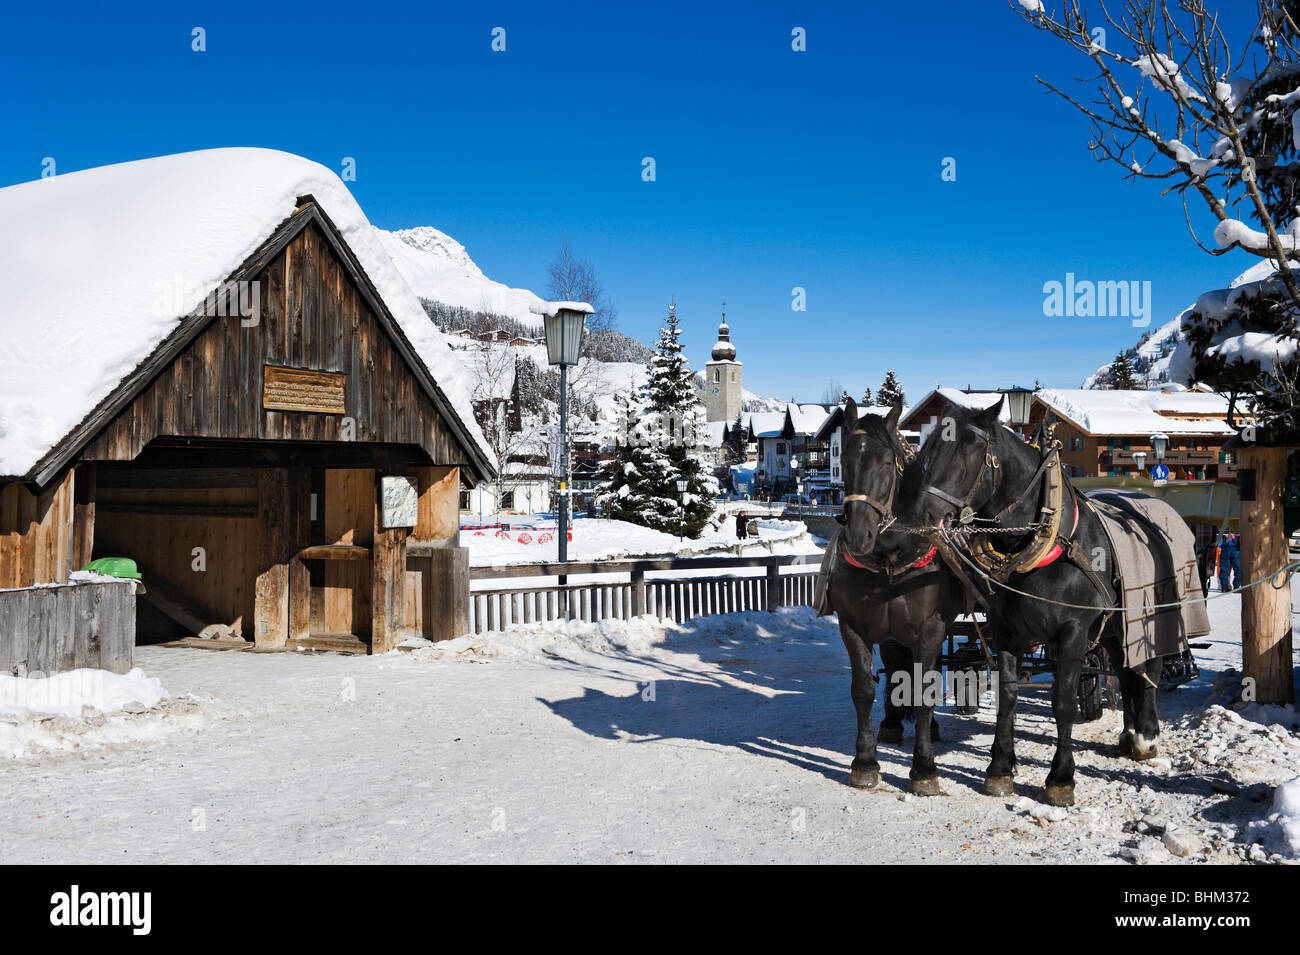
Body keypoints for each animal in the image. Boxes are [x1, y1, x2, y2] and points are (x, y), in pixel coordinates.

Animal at [821, 400, 967, 795]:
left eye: (887, 461)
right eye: (846, 459)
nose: (859, 534)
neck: (890, 556)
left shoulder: (931, 629)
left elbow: (926, 691)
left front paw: (924, 767)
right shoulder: (853, 627)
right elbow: (862, 690)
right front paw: (865, 762)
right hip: (889, 632)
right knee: (896, 666)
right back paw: (890, 722)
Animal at [899, 394, 1164, 805]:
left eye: (968, 451)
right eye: (928, 453)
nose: (922, 515)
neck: (1038, 541)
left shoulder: (1072, 633)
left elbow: (1062, 702)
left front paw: (1061, 777)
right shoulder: (1006, 630)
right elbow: (1008, 696)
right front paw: (999, 769)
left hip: (1143, 616)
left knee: (1147, 666)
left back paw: (1147, 736)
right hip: (1112, 628)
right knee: (1124, 670)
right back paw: (1130, 733)